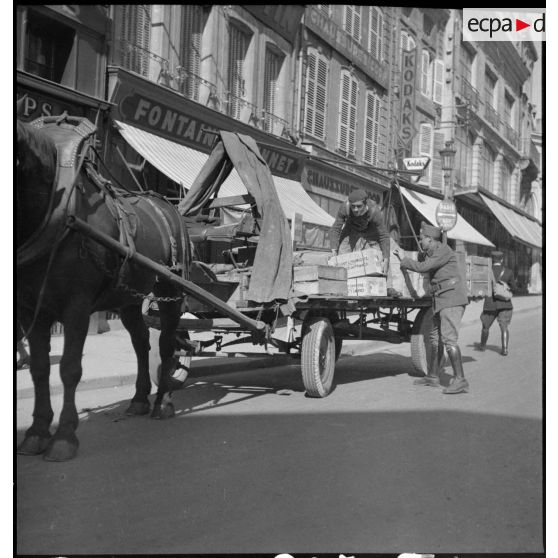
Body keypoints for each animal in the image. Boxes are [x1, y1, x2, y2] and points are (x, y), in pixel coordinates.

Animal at [16, 116, 191, 462]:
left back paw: (163, 401)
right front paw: (37, 431)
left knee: (166, 344)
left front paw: (64, 436)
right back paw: (139, 398)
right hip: (127, 298)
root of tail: (169, 206)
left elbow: (69, 368)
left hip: (171, 289)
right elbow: (40, 369)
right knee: (141, 342)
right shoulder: (31, 308)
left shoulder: (77, 305)